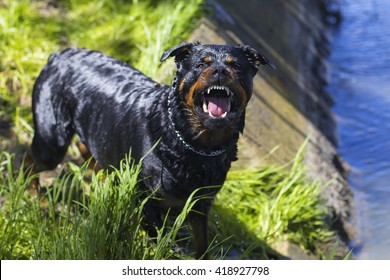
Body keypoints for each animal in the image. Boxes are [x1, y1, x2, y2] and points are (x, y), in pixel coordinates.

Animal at [29, 42, 272, 260]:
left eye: (236, 66)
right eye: (201, 64)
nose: (220, 70)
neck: (193, 145)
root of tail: (59, 55)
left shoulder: (200, 204)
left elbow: (202, 244)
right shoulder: (146, 201)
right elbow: (164, 245)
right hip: (52, 141)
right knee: (31, 161)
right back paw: (32, 193)